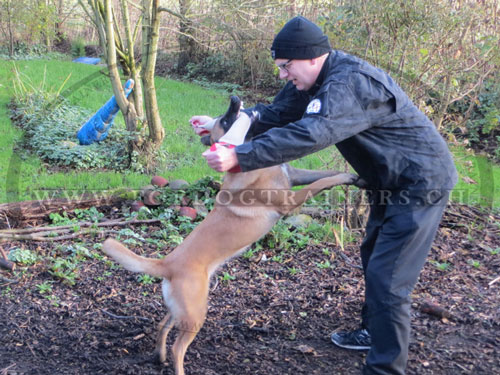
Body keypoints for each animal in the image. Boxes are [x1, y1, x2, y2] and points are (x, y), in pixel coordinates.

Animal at [102, 96, 364, 374]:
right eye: (226, 120)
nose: (235, 99)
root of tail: (166, 263)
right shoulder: (290, 201)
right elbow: (320, 184)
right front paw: (346, 176)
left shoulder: (294, 174)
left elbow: (322, 176)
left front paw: (354, 177)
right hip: (196, 313)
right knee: (178, 348)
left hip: (180, 309)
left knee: (162, 326)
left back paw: (159, 356)